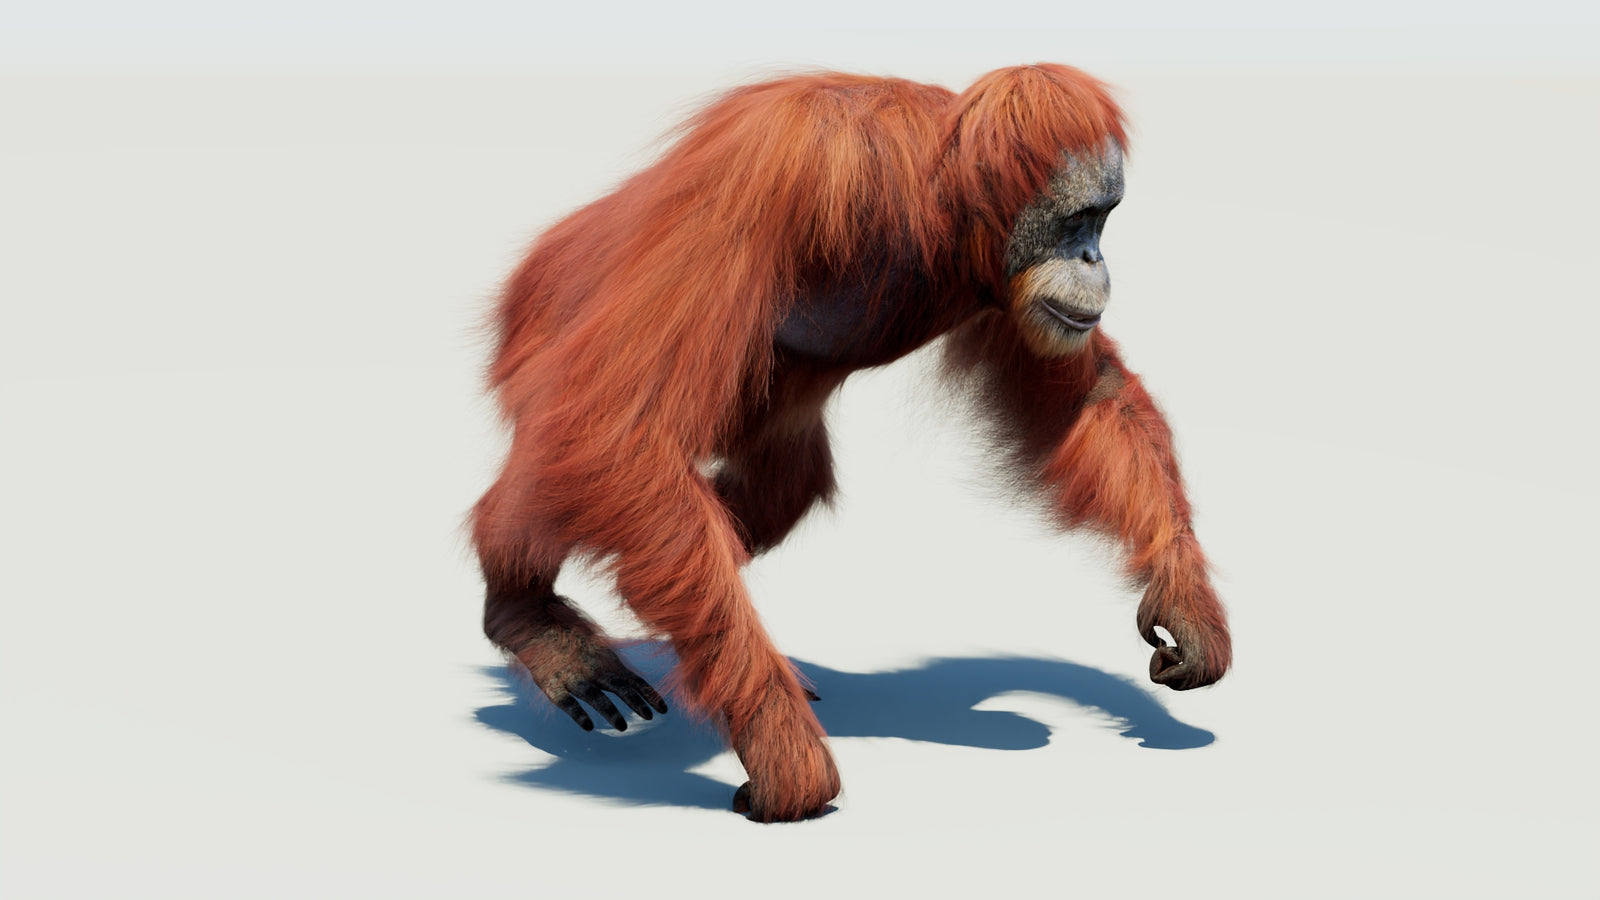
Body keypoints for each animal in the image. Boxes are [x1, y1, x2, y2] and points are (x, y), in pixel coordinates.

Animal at [472, 64, 1231, 822]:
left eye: (1104, 219)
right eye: (1078, 220)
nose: (1094, 257)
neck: (937, 205)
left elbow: (1086, 398)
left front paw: (1184, 599)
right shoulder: (787, 168)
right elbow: (625, 429)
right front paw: (784, 754)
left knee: (774, 486)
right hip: (540, 320)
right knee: (582, 449)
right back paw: (532, 618)